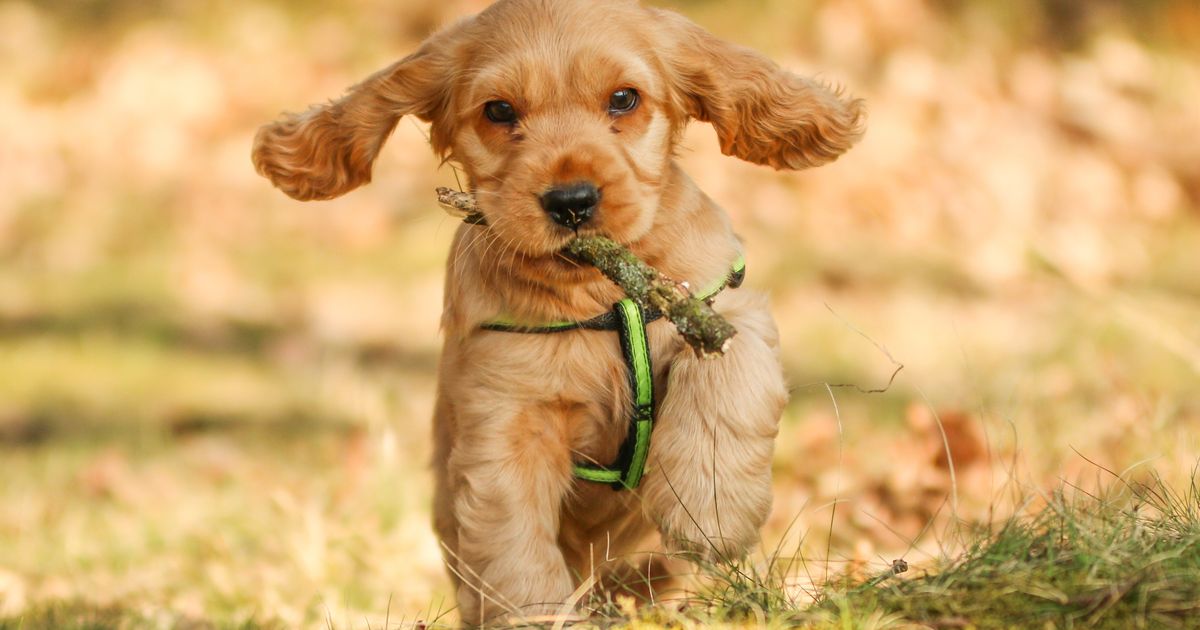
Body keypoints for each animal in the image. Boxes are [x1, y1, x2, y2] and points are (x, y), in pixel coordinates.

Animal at [253, 0, 864, 619]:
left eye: (624, 99)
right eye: (499, 110)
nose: (571, 202)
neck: (596, 294)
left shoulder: (722, 305)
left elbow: (725, 371)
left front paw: (710, 511)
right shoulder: (504, 412)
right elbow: (512, 539)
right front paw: (535, 614)